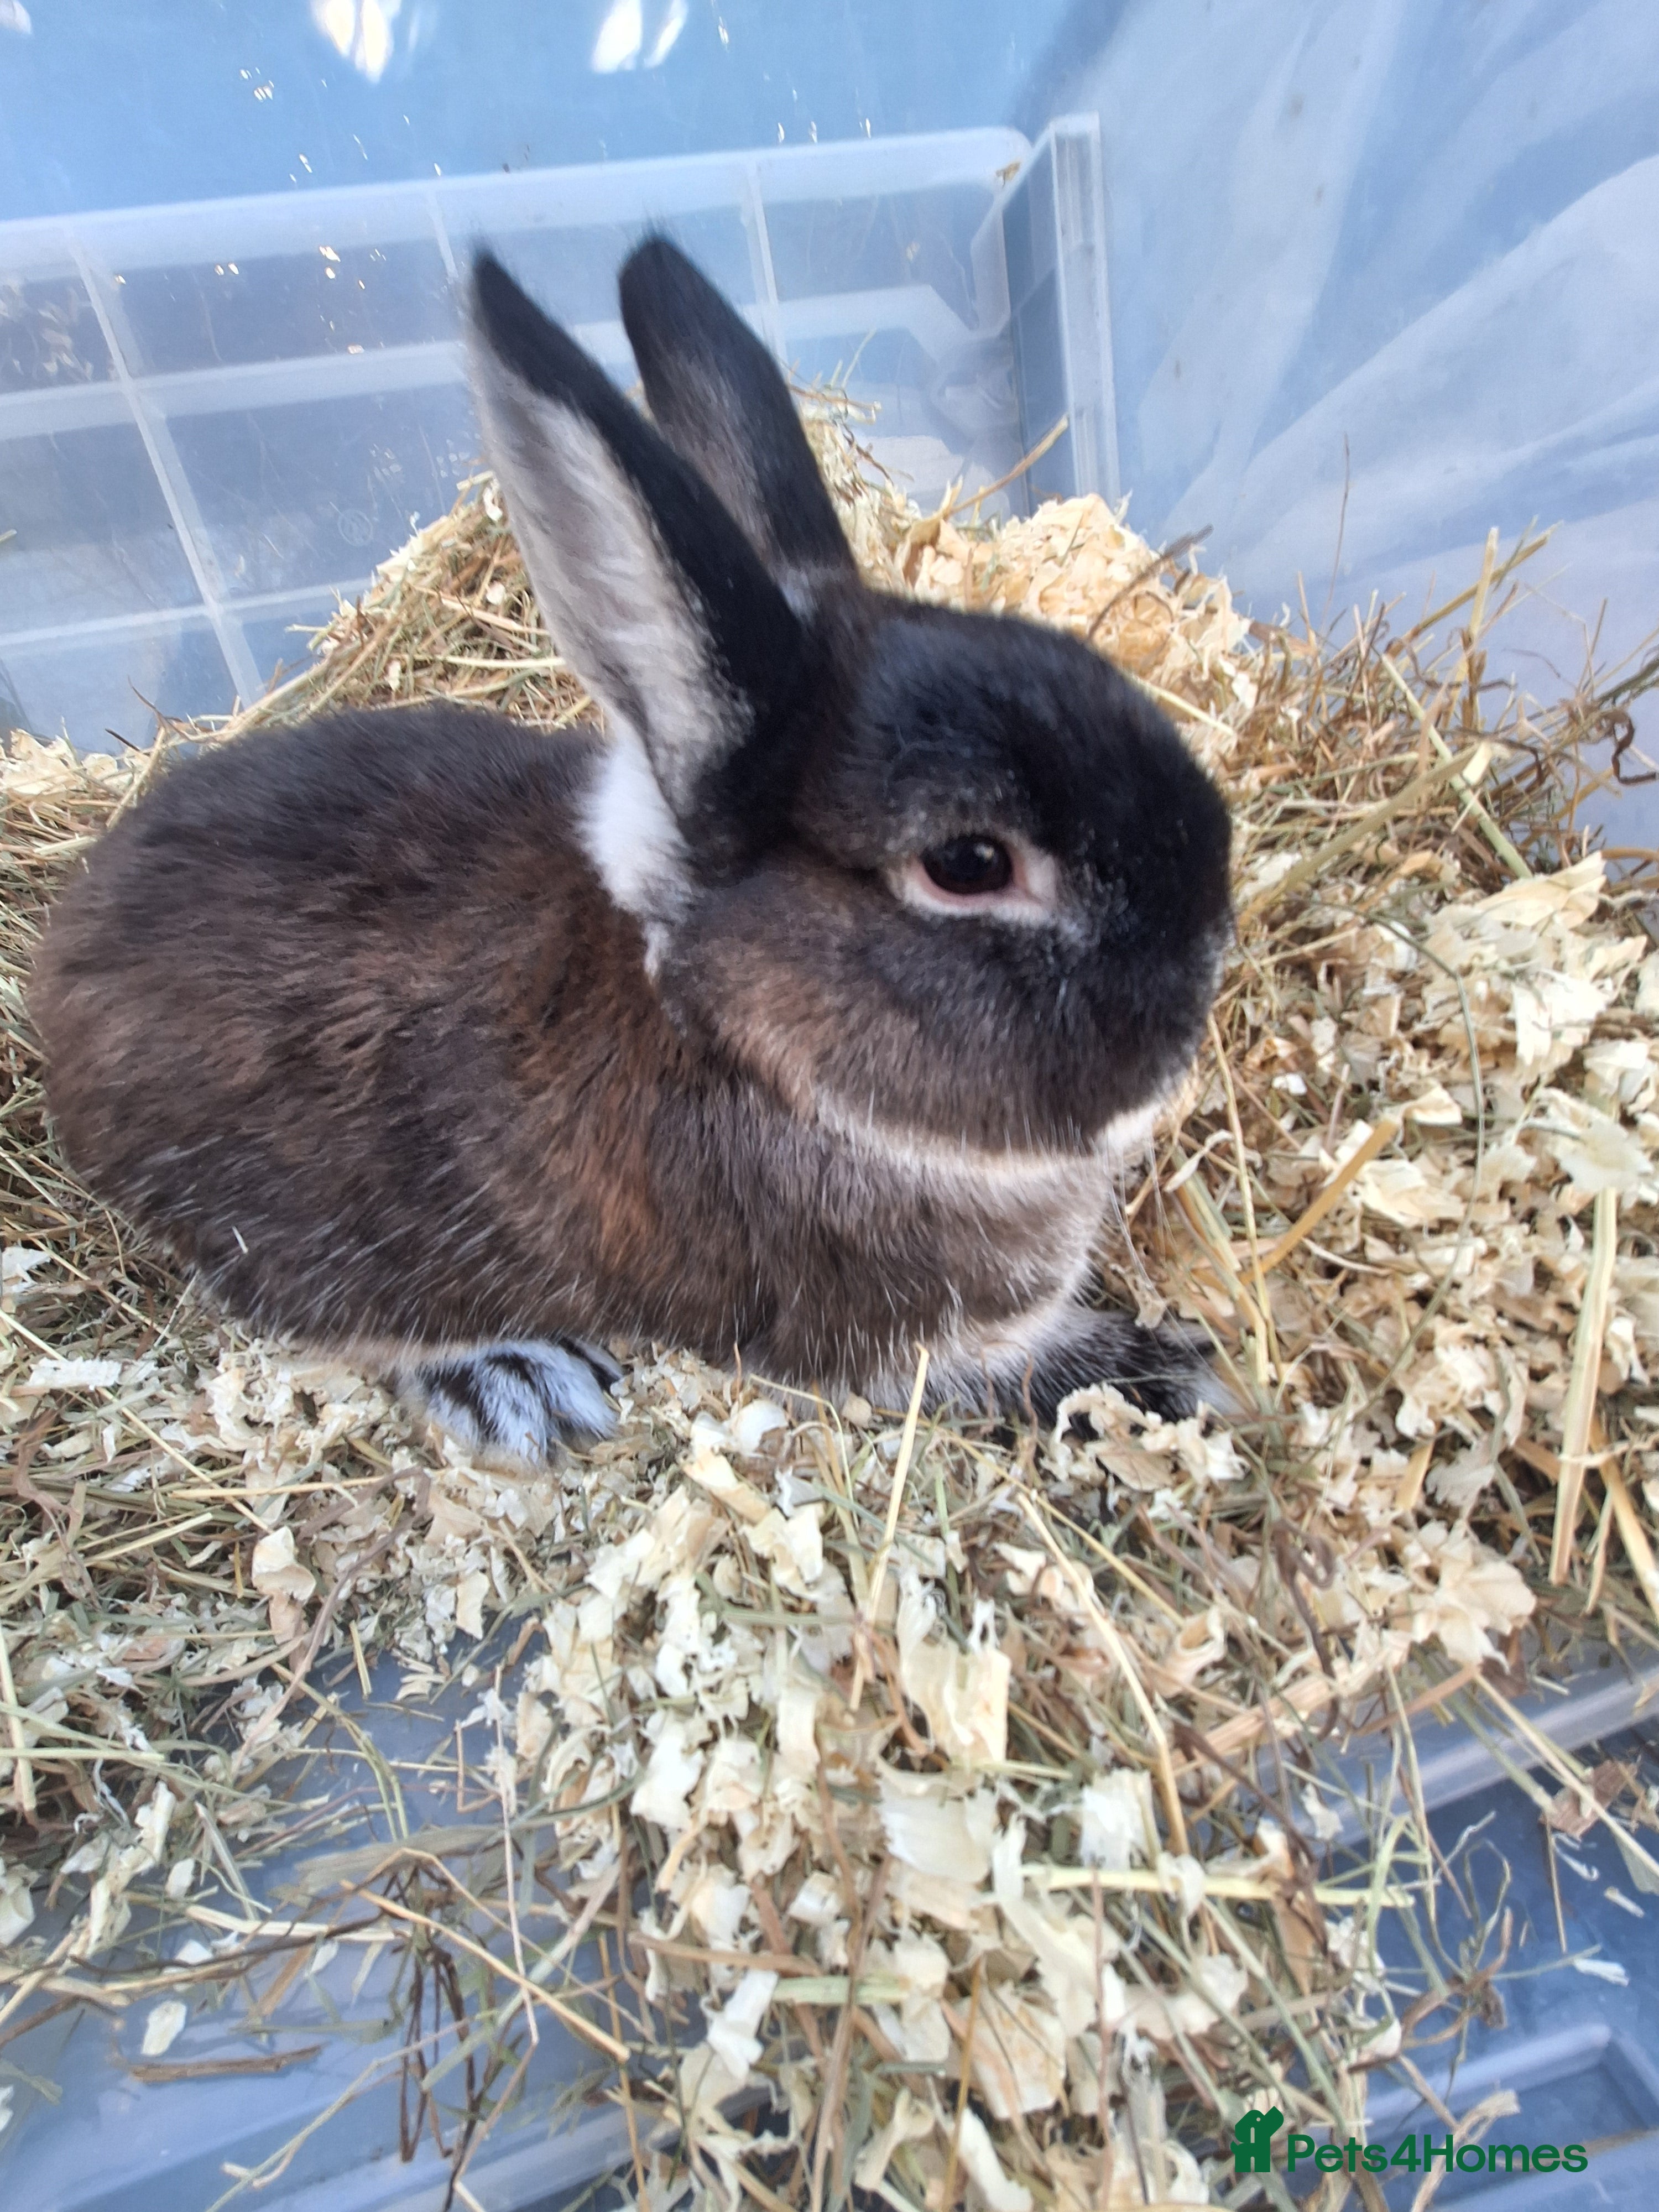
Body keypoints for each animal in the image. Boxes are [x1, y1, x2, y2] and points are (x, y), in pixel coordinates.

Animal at [28, 239, 1232, 1467]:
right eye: (970, 865)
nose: (1195, 1002)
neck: (735, 1043)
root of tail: (60, 955)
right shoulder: (895, 1346)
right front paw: (1179, 1379)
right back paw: (515, 1375)